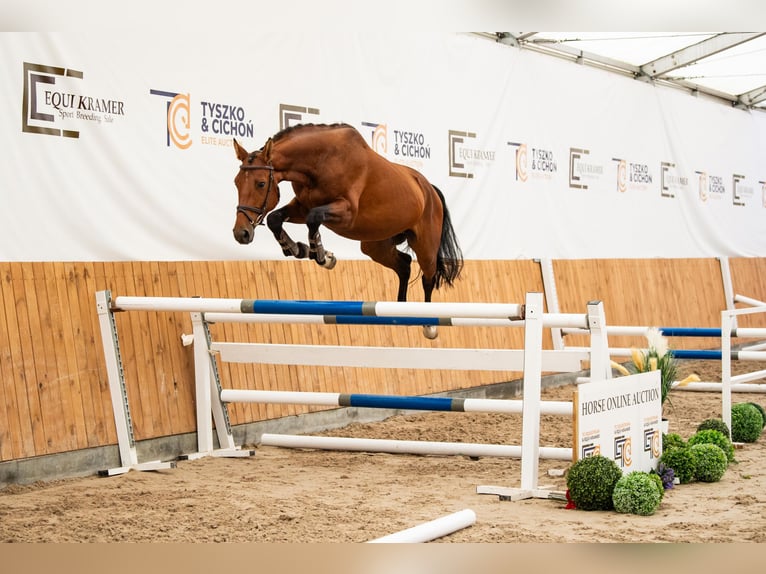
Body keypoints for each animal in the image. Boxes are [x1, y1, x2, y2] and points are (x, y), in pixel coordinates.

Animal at [231, 121, 464, 338]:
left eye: (261, 184)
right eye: (236, 183)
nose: (241, 233)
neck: (320, 162)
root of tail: (428, 188)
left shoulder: (346, 212)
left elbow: (313, 218)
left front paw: (322, 256)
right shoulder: (301, 206)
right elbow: (275, 218)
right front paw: (297, 249)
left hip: (425, 245)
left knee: (428, 276)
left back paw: (428, 324)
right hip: (375, 245)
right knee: (404, 265)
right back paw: (399, 310)